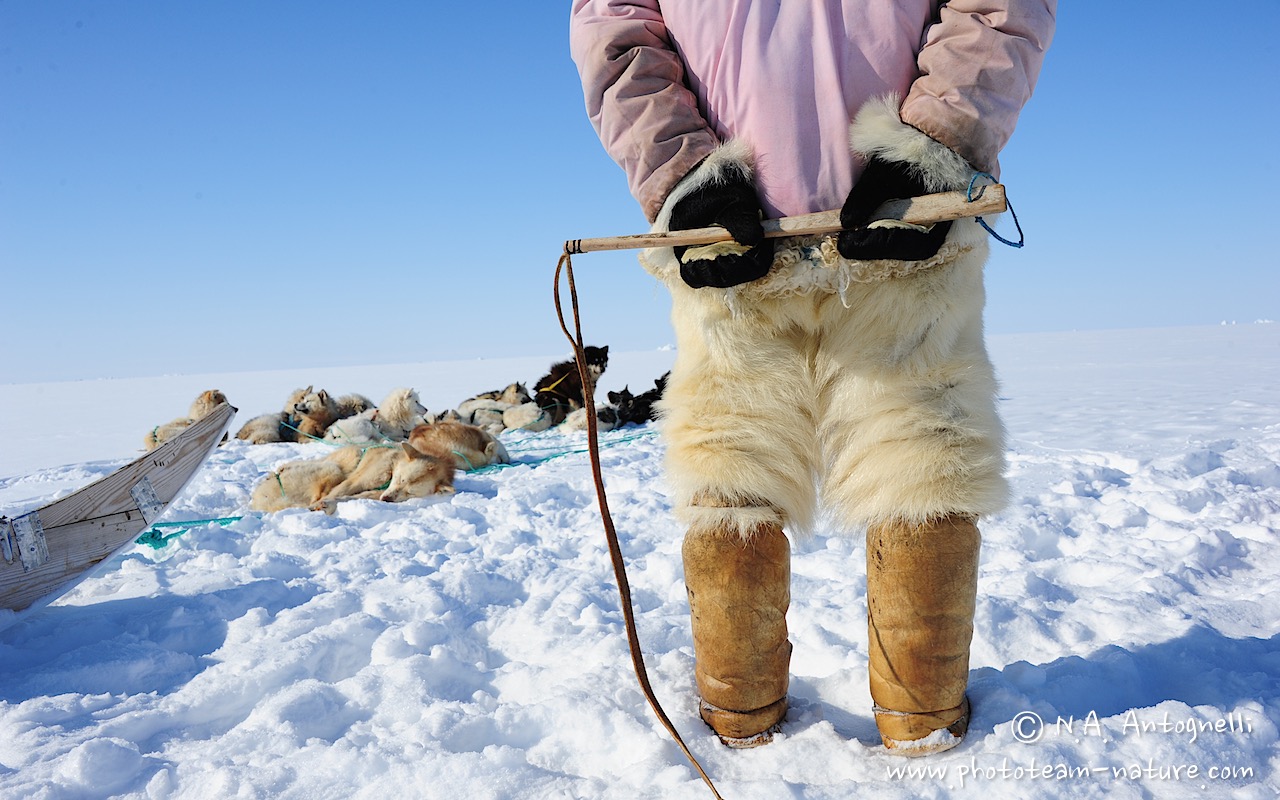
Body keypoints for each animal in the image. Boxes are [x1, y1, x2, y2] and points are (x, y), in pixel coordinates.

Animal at [248, 440, 455, 514]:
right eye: (400, 479)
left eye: (410, 493)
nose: (387, 499)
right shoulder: (354, 482)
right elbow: (335, 494)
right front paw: (324, 504)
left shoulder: (372, 493)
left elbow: (345, 498)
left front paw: (329, 505)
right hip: (332, 469)